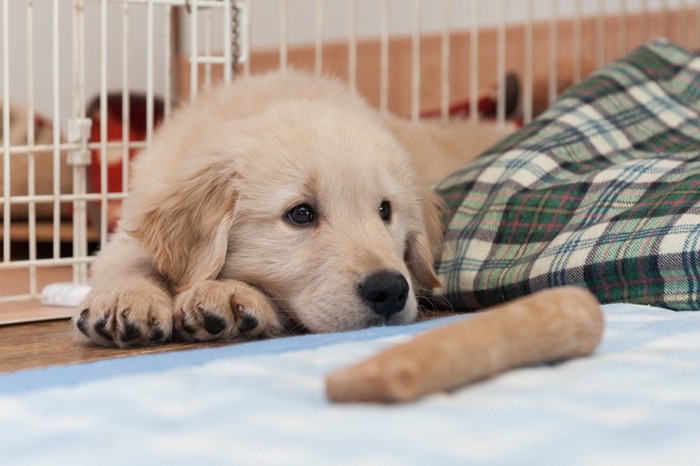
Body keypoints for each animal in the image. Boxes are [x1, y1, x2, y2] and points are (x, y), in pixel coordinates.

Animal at [74, 69, 512, 346]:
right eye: (301, 214)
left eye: (385, 210)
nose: (389, 290)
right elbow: (125, 261)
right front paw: (127, 298)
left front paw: (228, 296)